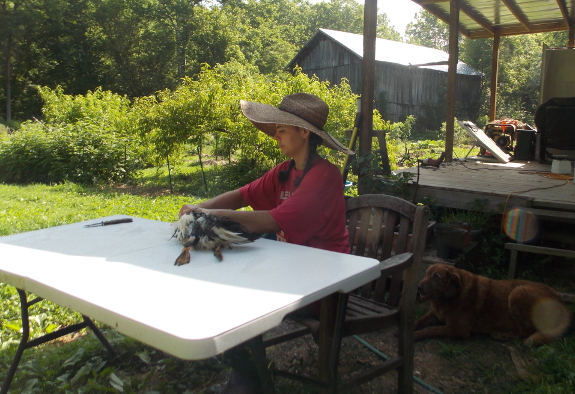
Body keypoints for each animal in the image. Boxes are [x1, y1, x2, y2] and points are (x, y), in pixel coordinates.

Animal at [414, 264, 572, 344]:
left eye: (436, 276)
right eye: (426, 273)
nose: (418, 287)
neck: (446, 300)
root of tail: (560, 300)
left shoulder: (458, 329)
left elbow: (431, 330)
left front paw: (415, 335)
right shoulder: (434, 314)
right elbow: (418, 321)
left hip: (518, 292)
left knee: (525, 331)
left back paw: (501, 334)